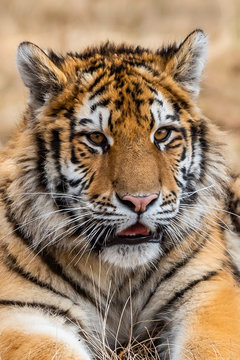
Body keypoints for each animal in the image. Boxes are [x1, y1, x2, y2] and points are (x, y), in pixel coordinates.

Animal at [0, 28, 240, 360]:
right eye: (96, 138)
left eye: (162, 134)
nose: (140, 201)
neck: (117, 277)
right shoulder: (22, 310)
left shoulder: (208, 294)